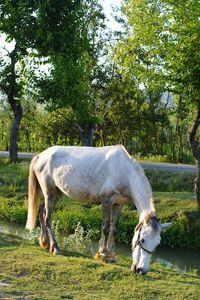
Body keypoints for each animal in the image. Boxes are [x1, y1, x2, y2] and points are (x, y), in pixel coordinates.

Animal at [25, 145, 172, 274]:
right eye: (142, 240)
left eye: (157, 243)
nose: (142, 270)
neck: (123, 170)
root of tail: (40, 155)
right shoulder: (107, 201)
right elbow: (106, 228)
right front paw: (102, 254)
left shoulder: (118, 204)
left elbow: (114, 230)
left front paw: (111, 256)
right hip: (49, 193)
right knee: (47, 218)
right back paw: (55, 247)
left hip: (57, 193)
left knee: (41, 211)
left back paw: (44, 243)